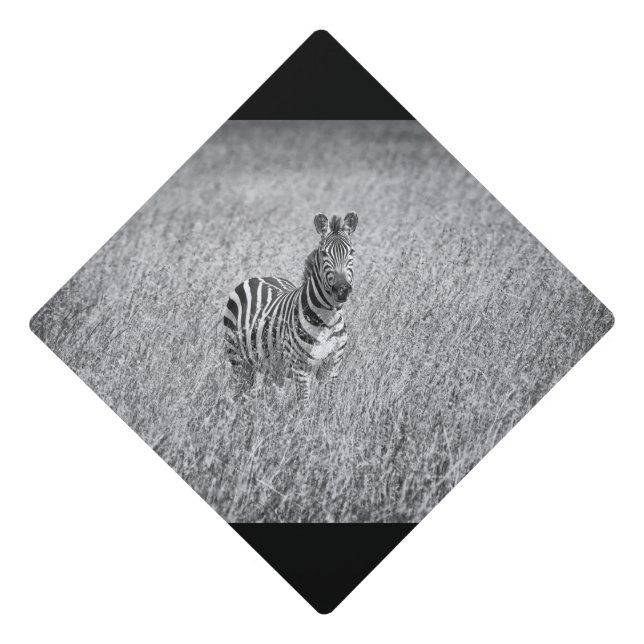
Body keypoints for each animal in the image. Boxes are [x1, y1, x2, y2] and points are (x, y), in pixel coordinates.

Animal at [223, 211, 358, 401]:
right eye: (324, 253)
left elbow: (327, 403)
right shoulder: (300, 366)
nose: (342, 289)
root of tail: (258, 277)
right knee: (239, 392)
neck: (326, 320)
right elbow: (304, 403)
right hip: (238, 358)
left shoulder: (332, 365)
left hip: (272, 366)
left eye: (351, 252)